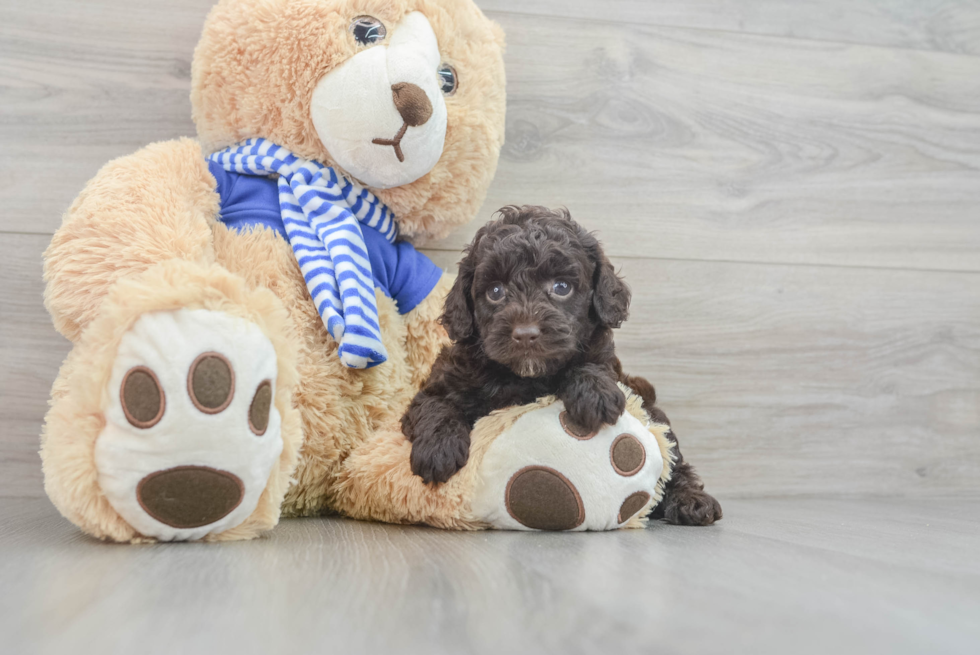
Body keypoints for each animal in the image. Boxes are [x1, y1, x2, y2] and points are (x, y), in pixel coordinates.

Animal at [398, 208, 720, 524]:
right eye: (495, 291)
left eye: (561, 287)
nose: (525, 333)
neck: (524, 377)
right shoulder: (440, 384)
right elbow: (436, 406)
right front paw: (438, 450)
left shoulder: (605, 363)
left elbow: (590, 364)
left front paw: (594, 395)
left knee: (673, 460)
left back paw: (692, 501)